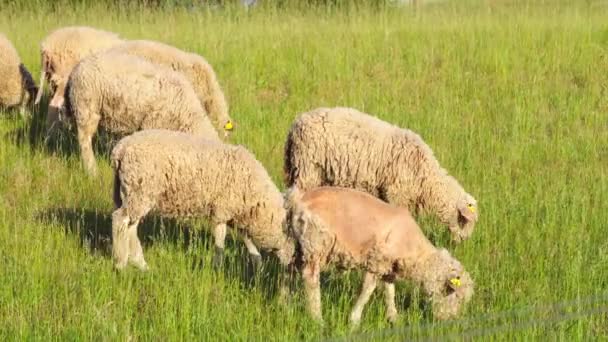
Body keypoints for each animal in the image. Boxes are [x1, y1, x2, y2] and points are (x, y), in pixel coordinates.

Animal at [111, 128, 296, 272]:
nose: (291, 266)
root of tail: (120, 149)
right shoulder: (222, 210)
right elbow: (220, 242)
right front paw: (218, 268)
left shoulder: (238, 214)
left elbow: (249, 243)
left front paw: (258, 268)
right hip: (139, 190)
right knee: (119, 220)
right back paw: (121, 263)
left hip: (134, 193)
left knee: (130, 227)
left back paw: (139, 263)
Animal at [284, 107, 480, 243]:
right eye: (464, 221)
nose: (461, 244)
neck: (427, 181)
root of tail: (296, 124)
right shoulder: (396, 194)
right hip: (307, 170)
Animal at [284, 186, 476, 328]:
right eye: (456, 295)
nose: (451, 322)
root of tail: (299, 199)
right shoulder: (377, 261)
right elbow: (367, 290)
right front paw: (354, 320)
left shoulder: (389, 266)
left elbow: (390, 292)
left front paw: (393, 317)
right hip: (316, 242)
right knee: (310, 280)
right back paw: (317, 319)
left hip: (298, 244)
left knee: (288, 271)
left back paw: (283, 301)